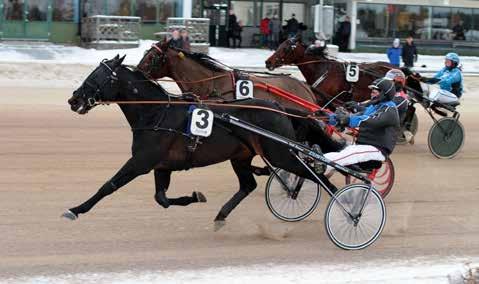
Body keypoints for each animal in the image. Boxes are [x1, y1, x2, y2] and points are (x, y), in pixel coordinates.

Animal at [63, 56, 340, 231]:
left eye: (98, 77)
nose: (73, 100)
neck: (156, 112)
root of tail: (280, 107)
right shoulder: (161, 165)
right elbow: (161, 198)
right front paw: (195, 196)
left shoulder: (141, 161)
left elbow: (109, 186)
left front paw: (76, 209)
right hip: (241, 156)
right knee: (248, 185)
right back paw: (221, 215)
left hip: (280, 153)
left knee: (315, 177)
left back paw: (343, 203)